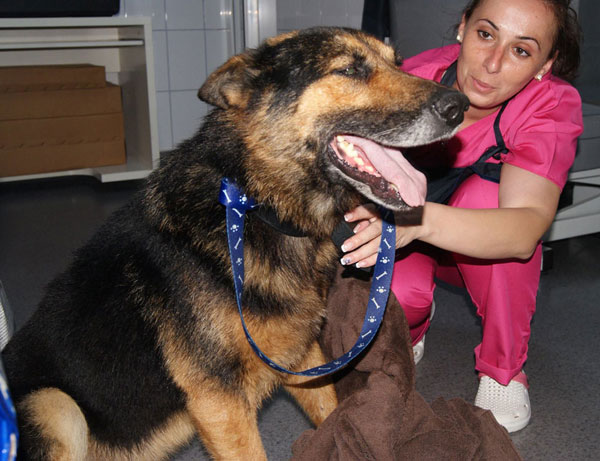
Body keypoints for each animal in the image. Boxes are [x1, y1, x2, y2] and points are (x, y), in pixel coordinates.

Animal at [1, 27, 468, 458]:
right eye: (349, 69)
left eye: (399, 63)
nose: (459, 106)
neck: (254, 206)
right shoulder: (219, 402)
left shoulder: (303, 359)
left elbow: (334, 415)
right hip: (54, 405)